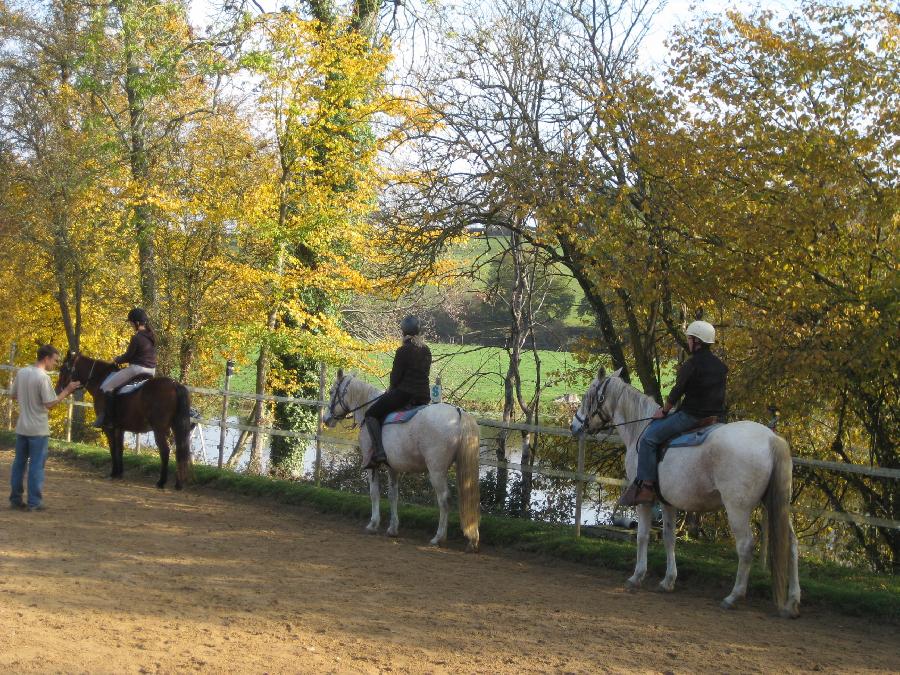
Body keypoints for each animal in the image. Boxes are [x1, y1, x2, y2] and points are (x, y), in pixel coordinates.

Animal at [55, 354, 193, 492]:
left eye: (63, 368)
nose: (57, 390)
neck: (100, 379)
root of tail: (174, 384)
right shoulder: (119, 428)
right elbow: (120, 449)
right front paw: (119, 473)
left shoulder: (109, 428)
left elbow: (113, 448)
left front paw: (113, 473)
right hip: (175, 427)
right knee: (180, 451)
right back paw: (178, 484)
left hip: (159, 429)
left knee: (165, 451)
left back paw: (161, 482)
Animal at [322, 372, 482, 552]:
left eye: (331, 392)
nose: (326, 419)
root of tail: (458, 413)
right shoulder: (393, 468)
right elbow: (393, 496)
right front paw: (392, 528)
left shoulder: (371, 467)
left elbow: (374, 493)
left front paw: (373, 524)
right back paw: (472, 541)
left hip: (437, 471)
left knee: (444, 500)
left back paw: (438, 538)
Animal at [572, 370, 800, 616]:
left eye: (587, 396)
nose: (574, 426)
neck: (639, 431)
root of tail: (770, 438)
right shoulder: (667, 502)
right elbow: (669, 538)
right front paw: (668, 581)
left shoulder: (644, 502)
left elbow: (642, 536)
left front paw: (636, 576)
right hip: (776, 504)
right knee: (792, 544)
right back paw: (792, 602)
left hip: (737, 508)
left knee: (746, 546)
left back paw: (733, 596)